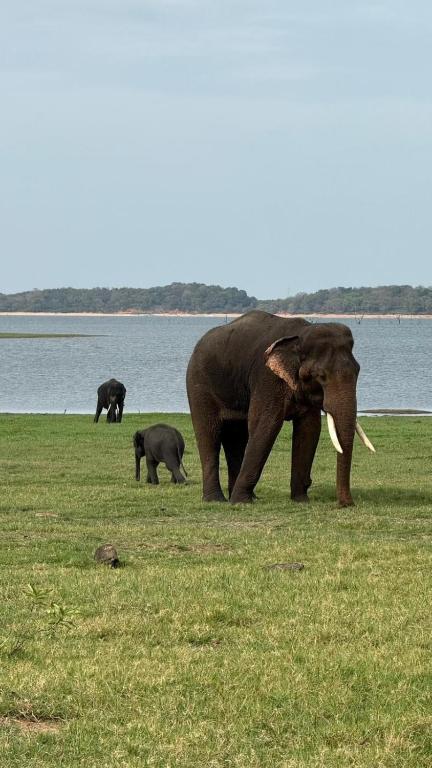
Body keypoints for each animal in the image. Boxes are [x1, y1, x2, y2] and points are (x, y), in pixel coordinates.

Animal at [186, 310, 375, 507]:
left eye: (358, 371)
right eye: (321, 376)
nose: (347, 504)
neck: (302, 333)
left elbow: (309, 428)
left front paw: (301, 500)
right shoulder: (267, 377)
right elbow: (266, 425)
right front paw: (241, 502)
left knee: (236, 435)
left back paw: (243, 497)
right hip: (198, 383)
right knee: (209, 433)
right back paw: (216, 500)